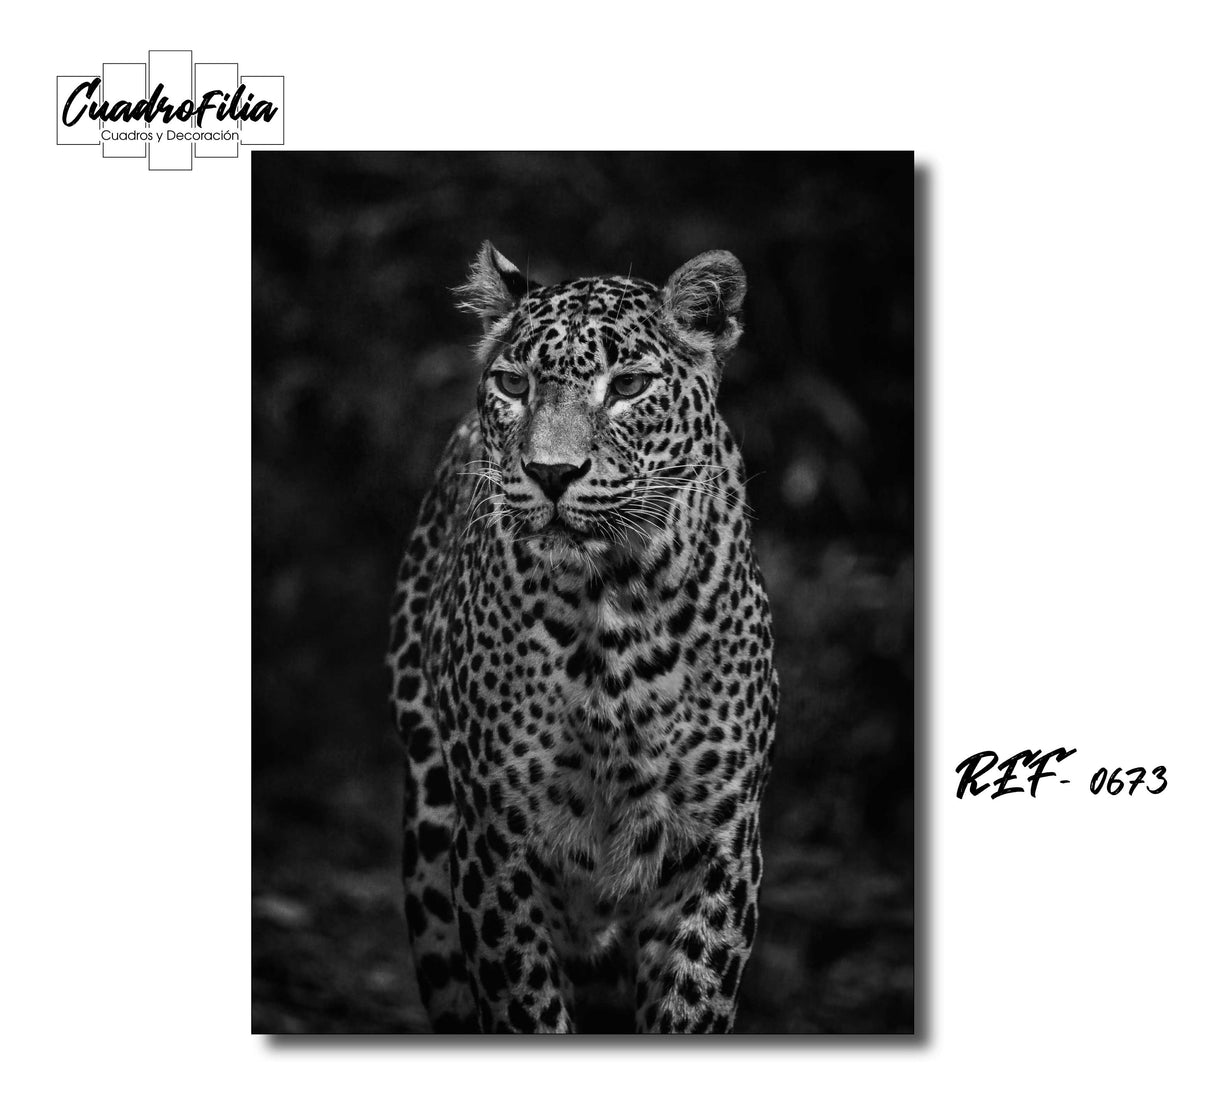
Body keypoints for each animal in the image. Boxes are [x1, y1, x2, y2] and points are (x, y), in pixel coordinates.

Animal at [387, 241, 778, 1033]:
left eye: (627, 385)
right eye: (513, 383)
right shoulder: (496, 847)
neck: (613, 604)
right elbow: (526, 1007)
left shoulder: (718, 847)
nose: (551, 473)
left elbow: (691, 1003)